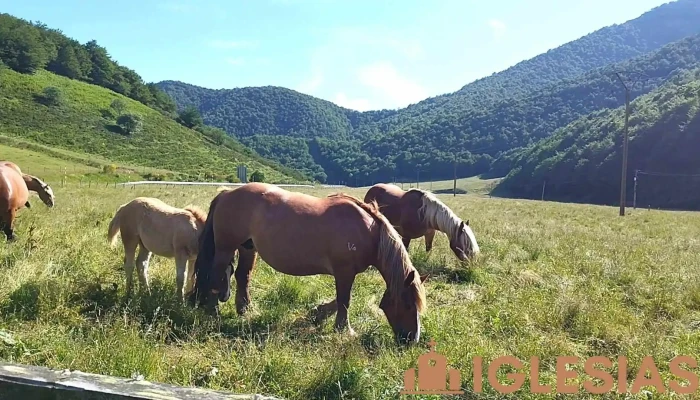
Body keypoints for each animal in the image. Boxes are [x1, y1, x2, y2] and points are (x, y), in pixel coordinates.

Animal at [186, 184, 426, 344]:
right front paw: (343, 329)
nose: (412, 339)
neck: (367, 230)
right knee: (216, 275)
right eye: (407, 304)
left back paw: (245, 309)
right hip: (226, 248)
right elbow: (344, 300)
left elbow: (339, 300)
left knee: (242, 276)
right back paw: (213, 311)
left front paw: (318, 313)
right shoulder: (344, 272)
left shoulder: (346, 274)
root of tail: (226, 193)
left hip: (247, 248)